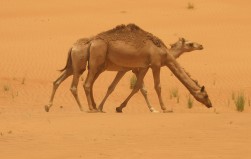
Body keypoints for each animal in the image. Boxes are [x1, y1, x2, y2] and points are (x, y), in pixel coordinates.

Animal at [44, 34, 202, 112]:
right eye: (190, 44)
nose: (200, 45)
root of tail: (72, 47)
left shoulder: (127, 69)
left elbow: (125, 87)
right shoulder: (134, 68)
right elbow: (142, 89)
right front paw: (153, 109)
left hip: (76, 66)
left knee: (58, 81)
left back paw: (48, 106)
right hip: (81, 65)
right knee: (78, 85)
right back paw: (84, 108)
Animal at [83, 23, 212, 113]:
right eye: (206, 95)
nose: (210, 104)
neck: (165, 53)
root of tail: (91, 42)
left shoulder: (143, 67)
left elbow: (137, 87)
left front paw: (119, 107)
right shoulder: (154, 65)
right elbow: (156, 87)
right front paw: (164, 108)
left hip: (99, 67)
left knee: (91, 83)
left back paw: (94, 106)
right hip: (97, 63)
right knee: (88, 83)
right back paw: (93, 108)